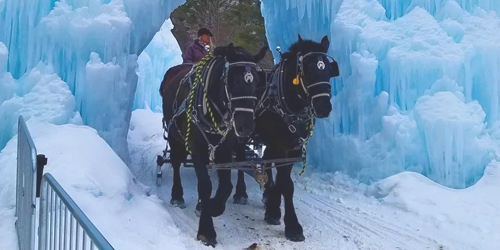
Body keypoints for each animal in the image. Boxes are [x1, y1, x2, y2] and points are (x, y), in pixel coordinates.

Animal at [160, 43, 270, 246]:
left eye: (257, 82)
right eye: (233, 81)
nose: (246, 126)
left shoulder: (224, 149)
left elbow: (225, 185)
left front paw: (211, 206)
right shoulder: (196, 147)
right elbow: (205, 185)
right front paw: (206, 231)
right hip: (174, 136)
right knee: (176, 162)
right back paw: (177, 195)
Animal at [232, 35, 338, 242]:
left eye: (329, 71)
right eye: (309, 69)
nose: (324, 107)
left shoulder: (293, 148)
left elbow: (283, 181)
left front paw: (273, 207)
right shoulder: (281, 147)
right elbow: (286, 185)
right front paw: (291, 225)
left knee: (265, 161)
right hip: (243, 133)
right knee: (240, 160)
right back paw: (241, 193)